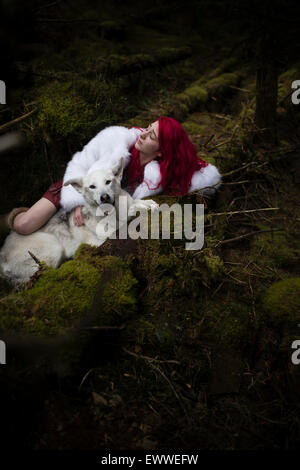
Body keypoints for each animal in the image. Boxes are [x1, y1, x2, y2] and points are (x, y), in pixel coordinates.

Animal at [0, 160, 158, 286]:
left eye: (108, 182)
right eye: (92, 187)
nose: (104, 197)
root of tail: (2, 259)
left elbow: (140, 203)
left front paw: (148, 204)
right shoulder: (106, 236)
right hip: (53, 247)